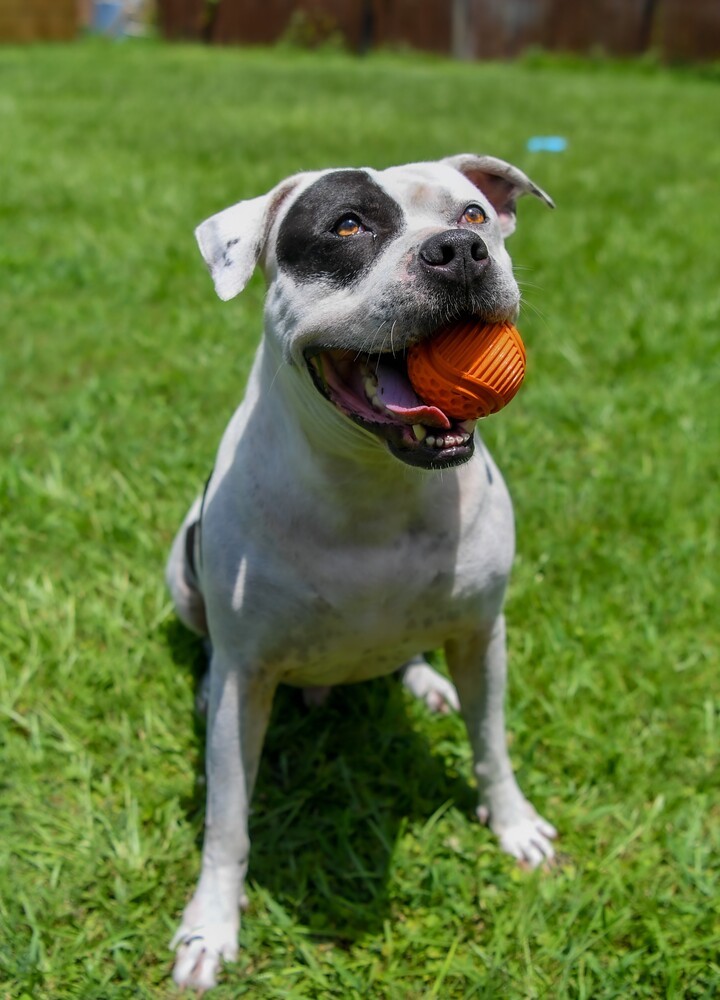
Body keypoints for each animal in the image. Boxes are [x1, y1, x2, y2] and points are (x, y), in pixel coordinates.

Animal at [166, 156, 556, 992]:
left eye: (474, 215)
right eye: (347, 226)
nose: (459, 252)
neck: (375, 482)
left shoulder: (483, 635)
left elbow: (492, 746)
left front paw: (514, 826)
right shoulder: (249, 678)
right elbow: (227, 820)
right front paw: (209, 927)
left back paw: (425, 683)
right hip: (180, 575)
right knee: (208, 646)